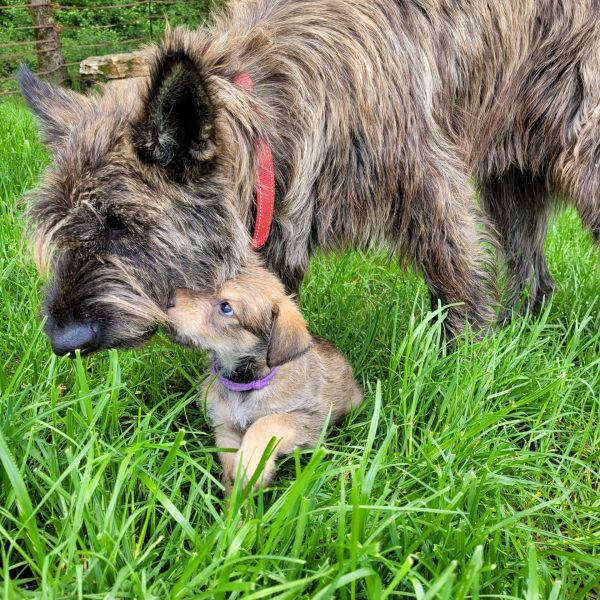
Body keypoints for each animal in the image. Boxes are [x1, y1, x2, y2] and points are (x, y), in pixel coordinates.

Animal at [16, 0, 596, 354]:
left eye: (120, 224)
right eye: (64, 230)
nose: (63, 339)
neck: (269, 115)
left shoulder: (431, 192)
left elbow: (456, 286)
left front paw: (463, 369)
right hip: (512, 179)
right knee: (535, 274)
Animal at [166, 264, 360, 490]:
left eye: (226, 307)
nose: (168, 298)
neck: (244, 384)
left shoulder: (307, 419)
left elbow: (266, 424)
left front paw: (250, 466)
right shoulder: (225, 429)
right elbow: (229, 466)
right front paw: (236, 496)